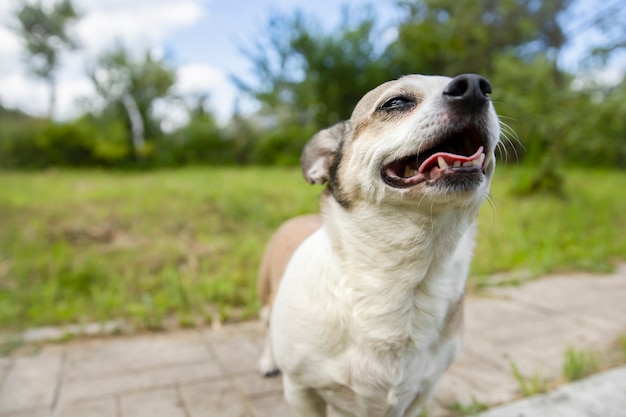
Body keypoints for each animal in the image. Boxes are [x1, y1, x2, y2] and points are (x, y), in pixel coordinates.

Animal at [256, 73, 500, 414]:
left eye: (488, 91)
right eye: (396, 102)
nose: (477, 87)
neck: (400, 278)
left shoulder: (420, 395)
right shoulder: (300, 391)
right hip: (266, 298)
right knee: (265, 328)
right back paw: (268, 360)